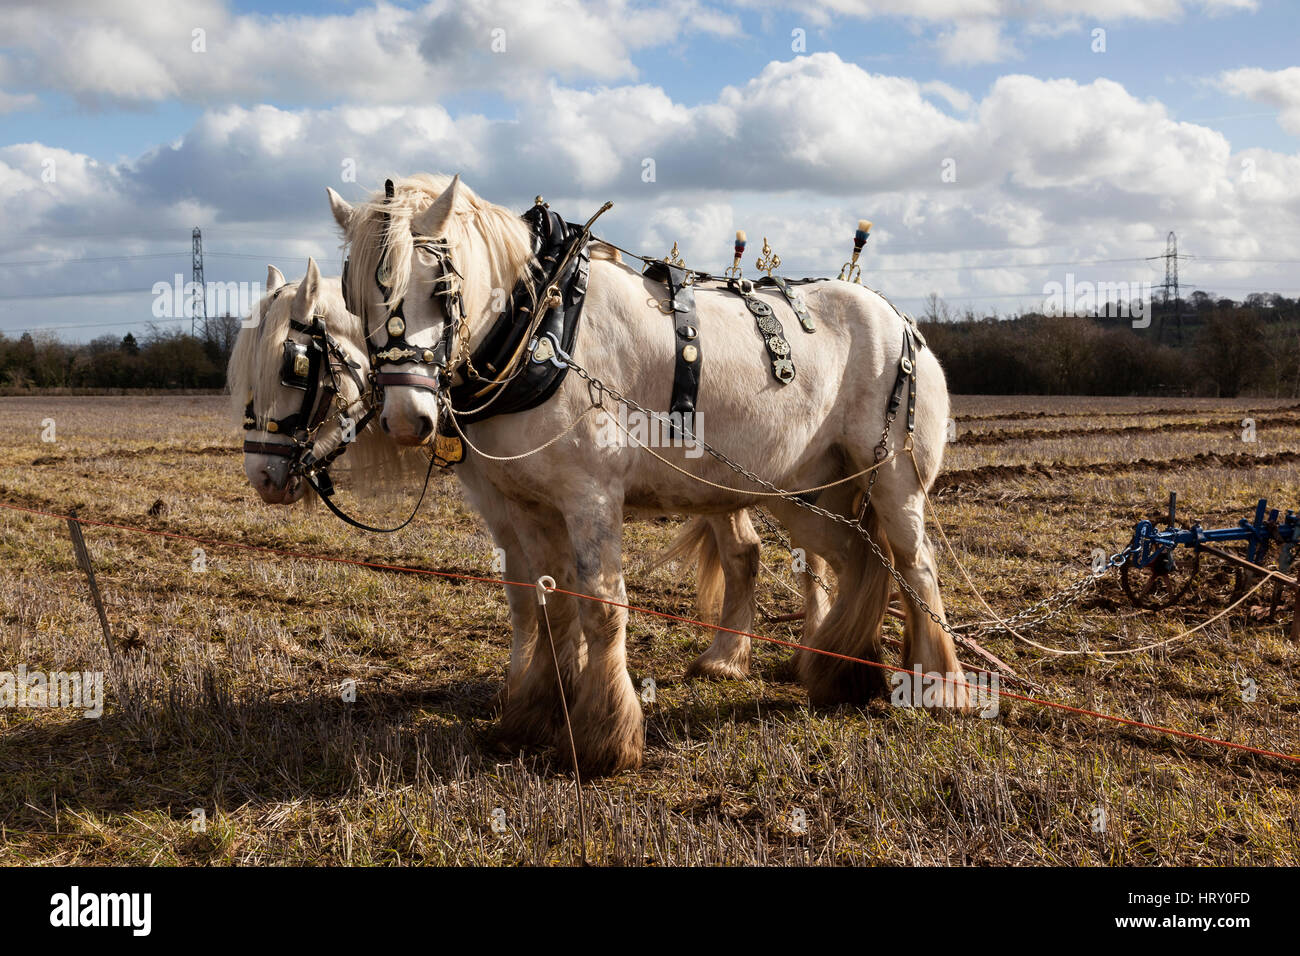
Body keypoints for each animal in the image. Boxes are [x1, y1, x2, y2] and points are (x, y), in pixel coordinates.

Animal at [330, 171, 972, 775]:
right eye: (354, 297)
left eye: (441, 288)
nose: (406, 418)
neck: (544, 327)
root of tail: (901, 319)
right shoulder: (526, 503)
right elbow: (548, 603)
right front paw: (537, 713)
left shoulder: (590, 496)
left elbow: (601, 605)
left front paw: (603, 738)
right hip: (806, 492)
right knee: (860, 559)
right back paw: (841, 674)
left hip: (892, 479)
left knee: (916, 565)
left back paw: (941, 687)